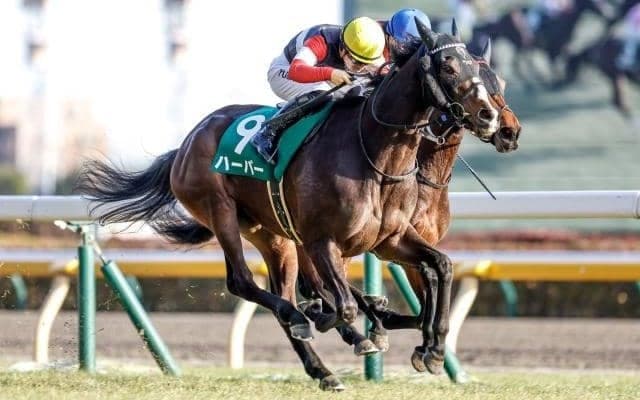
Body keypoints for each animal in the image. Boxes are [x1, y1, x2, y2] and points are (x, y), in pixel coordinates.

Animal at [78, 22, 499, 390]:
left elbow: (441, 265)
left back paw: (325, 368)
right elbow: (342, 302)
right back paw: (309, 320)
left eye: (481, 69)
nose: (490, 116)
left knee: (288, 291)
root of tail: (186, 143)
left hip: (273, 235)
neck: (374, 152)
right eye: (448, 66)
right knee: (245, 283)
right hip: (221, 211)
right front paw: (344, 321)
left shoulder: (389, 239)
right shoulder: (321, 241)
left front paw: (431, 348)